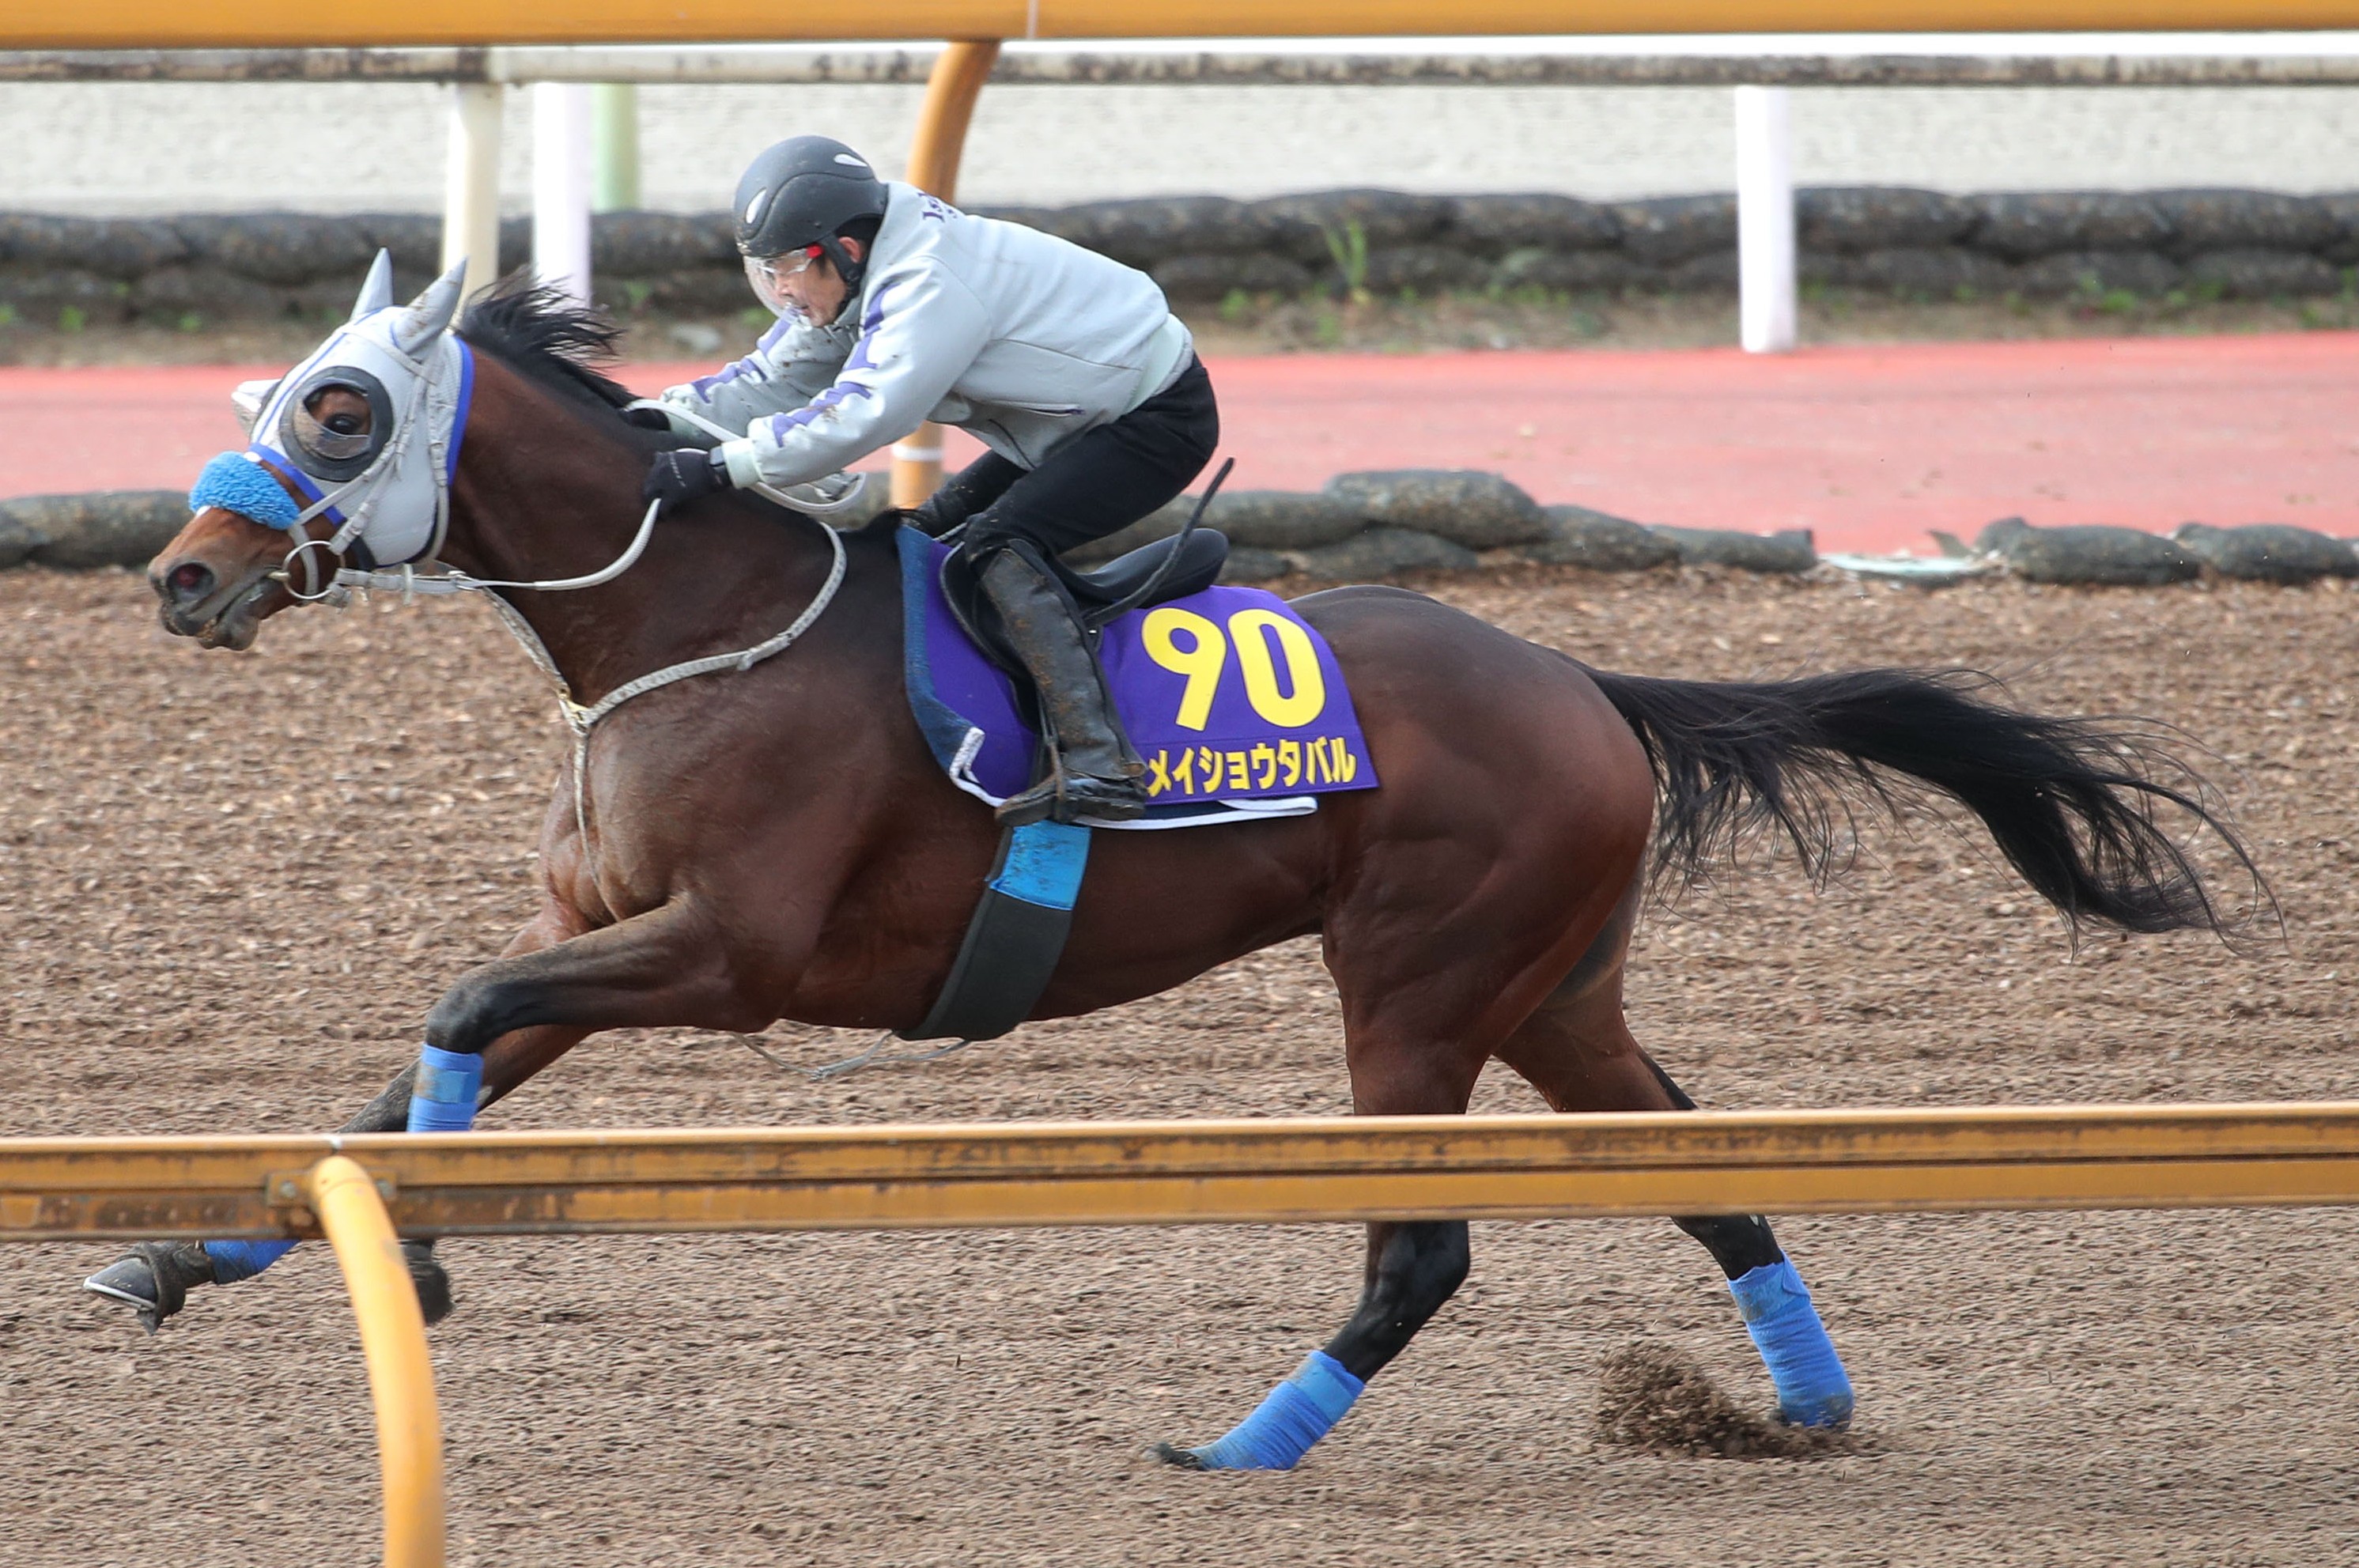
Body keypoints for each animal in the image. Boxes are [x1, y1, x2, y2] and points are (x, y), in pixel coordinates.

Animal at [106, 263, 2254, 1470]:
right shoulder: (607, 928)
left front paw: (420, 1267)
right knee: (1709, 1176)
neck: (690, 624)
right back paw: (1793, 1410)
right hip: (1553, 991)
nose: (182, 578)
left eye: (340, 405)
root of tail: (1586, 680)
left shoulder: (733, 955)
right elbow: (407, 1076)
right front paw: (184, 1252)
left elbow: (453, 1019)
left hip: (1418, 986)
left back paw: (1244, 1448)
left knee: (1422, 1247)